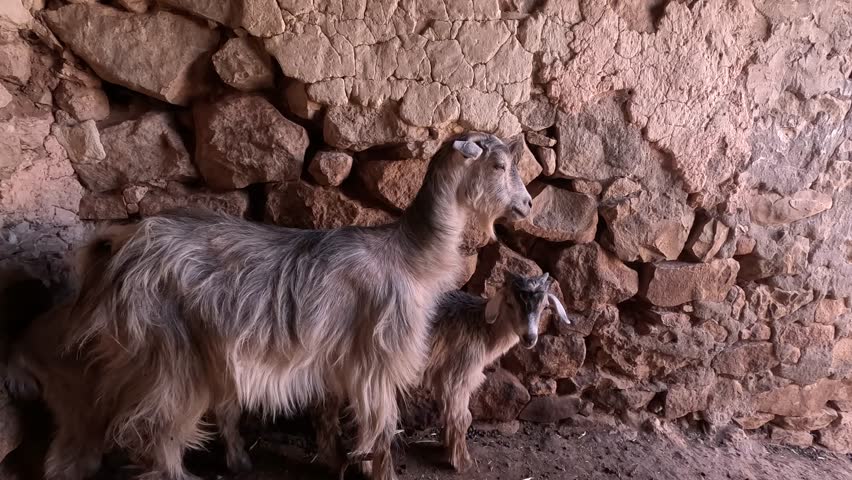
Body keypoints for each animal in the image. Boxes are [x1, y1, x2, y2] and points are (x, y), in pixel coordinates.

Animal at [56, 132, 532, 480]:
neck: (409, 258)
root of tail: (118, 250)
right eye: (498, 165)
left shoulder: (343, 359)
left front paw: (338, 460)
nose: (527, 204)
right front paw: (381, 472)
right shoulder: (379, 359)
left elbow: (339, 416)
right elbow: (380, 427)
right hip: (167, 352)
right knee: (159, 429)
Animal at [313, 271, 569, 475]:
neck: (482, 328)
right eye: (510, 303)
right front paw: (462, 462)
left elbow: (449, 412)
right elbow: (464, 417)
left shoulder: (443, 375)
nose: (530, 338)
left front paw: (447, 446)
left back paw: (334, 459)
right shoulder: (460, 373)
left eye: (544, 306)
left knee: (329, 413)